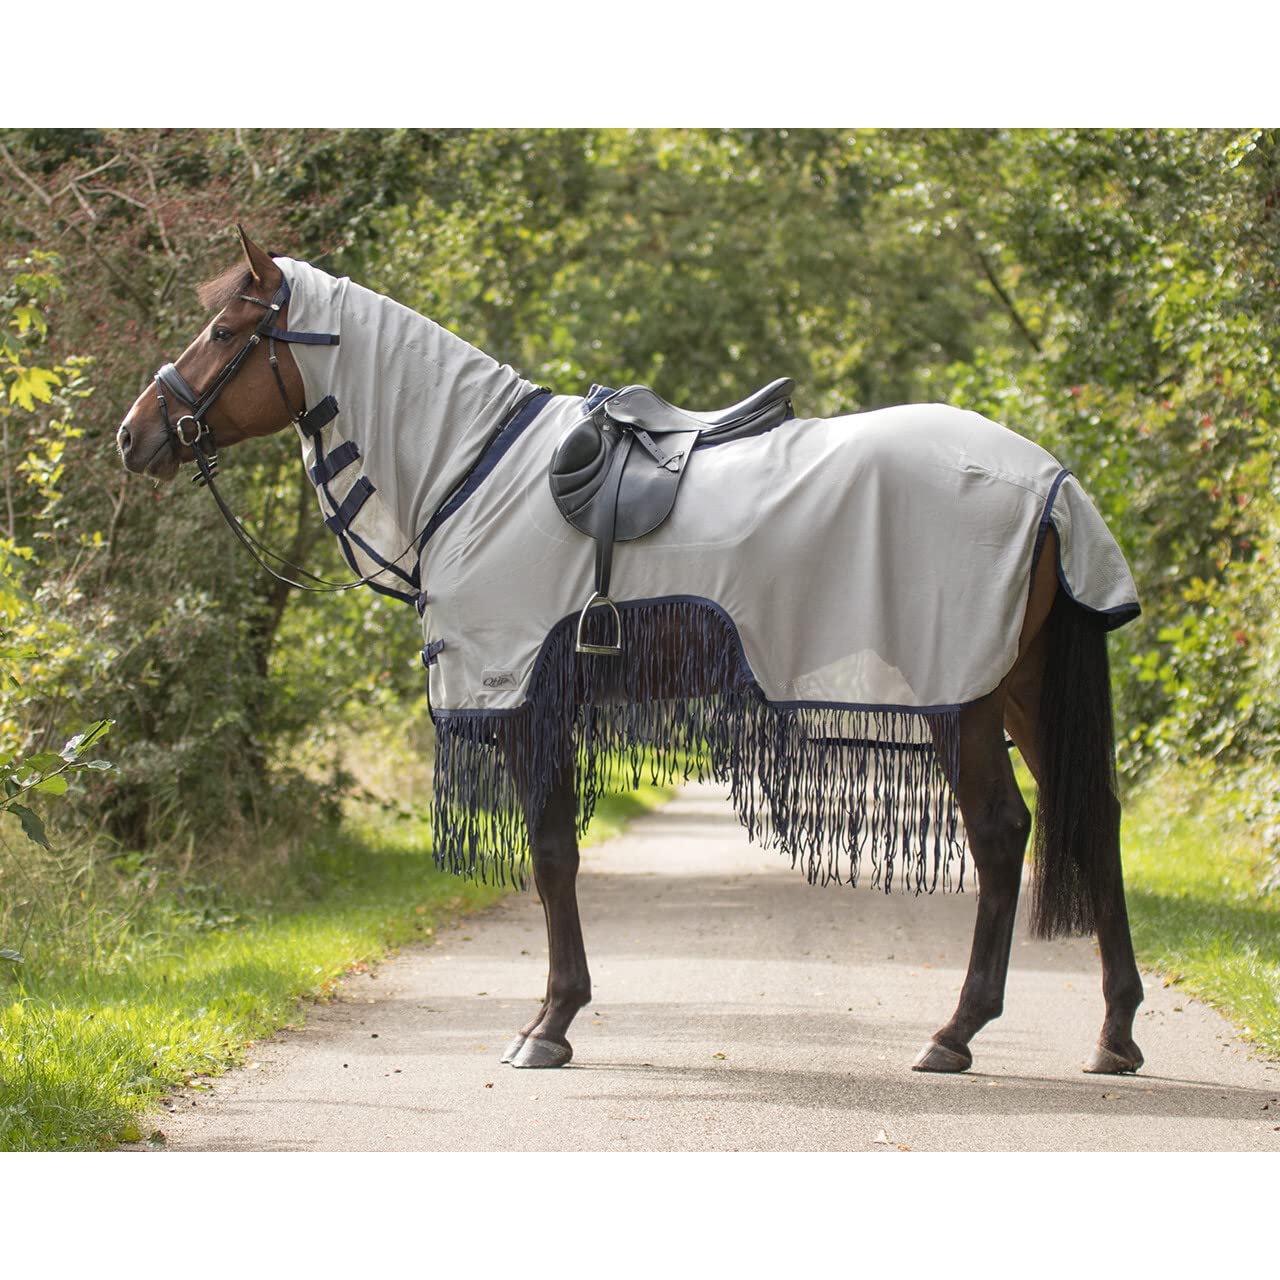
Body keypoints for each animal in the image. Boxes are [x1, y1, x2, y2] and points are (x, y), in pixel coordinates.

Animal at [116, 229, 1146, 1077]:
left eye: (223, 330)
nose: (135, 435)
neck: (472, 471)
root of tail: (1051, 480)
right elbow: (557, 855)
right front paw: (553, 1017)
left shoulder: (523, 701)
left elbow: (550, 856)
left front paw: (550, 1026)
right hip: (1018, 688)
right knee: (1093, 819)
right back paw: (1114, 1032)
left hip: (964, 701)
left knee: (1004, 833)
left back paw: (956, 1033)